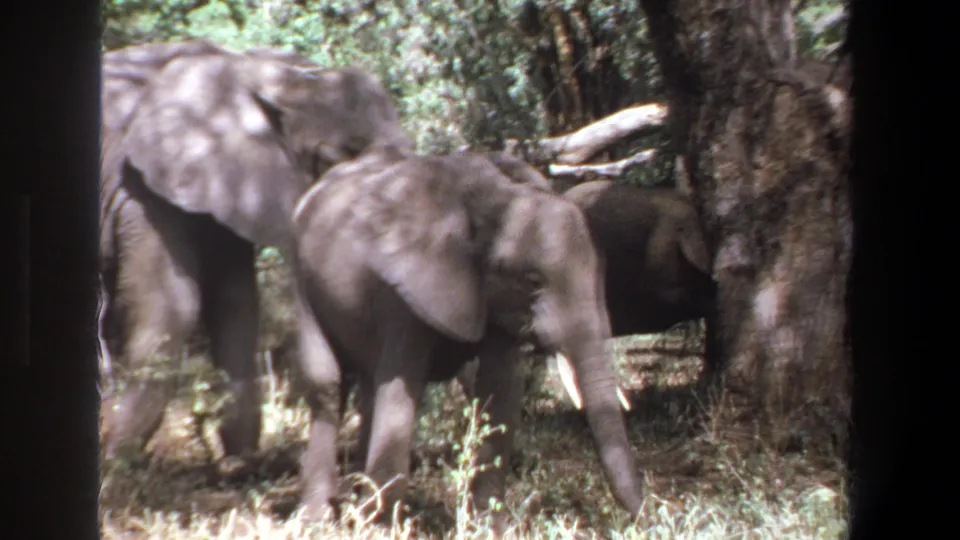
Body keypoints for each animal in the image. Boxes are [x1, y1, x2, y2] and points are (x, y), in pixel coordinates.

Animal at [97, 39, 413, 470]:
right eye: (334, 158)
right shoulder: (139, 187)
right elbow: (171, 305)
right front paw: (114, 460)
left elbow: (237, 302)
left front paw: (240, 464)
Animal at [289, 147, 645, 527]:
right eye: (533, 281)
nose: (644, 516)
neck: (498, 199)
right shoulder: (403, 291)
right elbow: (401, 388)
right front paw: (385, 528)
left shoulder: (496, 300)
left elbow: (499, 390)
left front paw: (490, 527)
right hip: (302, 280)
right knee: (328, 386)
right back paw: (318, 519)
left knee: (369, 392)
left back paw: (359, 506)